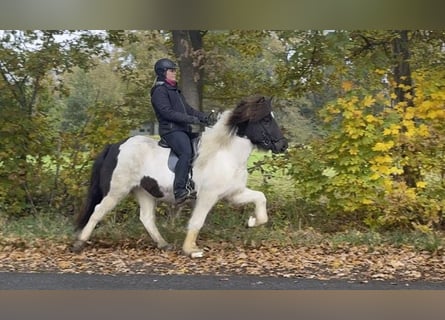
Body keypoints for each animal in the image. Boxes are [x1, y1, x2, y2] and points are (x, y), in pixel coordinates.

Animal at [72, 93, 288, 258]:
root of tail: (115, 146)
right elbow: (197, 221)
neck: (225, 153)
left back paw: (164, 244)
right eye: (266, 119)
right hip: (117, 190)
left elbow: (260, 197)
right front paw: (191, 250)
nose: (283, 145)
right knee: (98, 211)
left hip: (144, 191)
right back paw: (79, 243)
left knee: (146, 218)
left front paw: (253, 221)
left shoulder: (234, 194)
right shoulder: (208, 196)